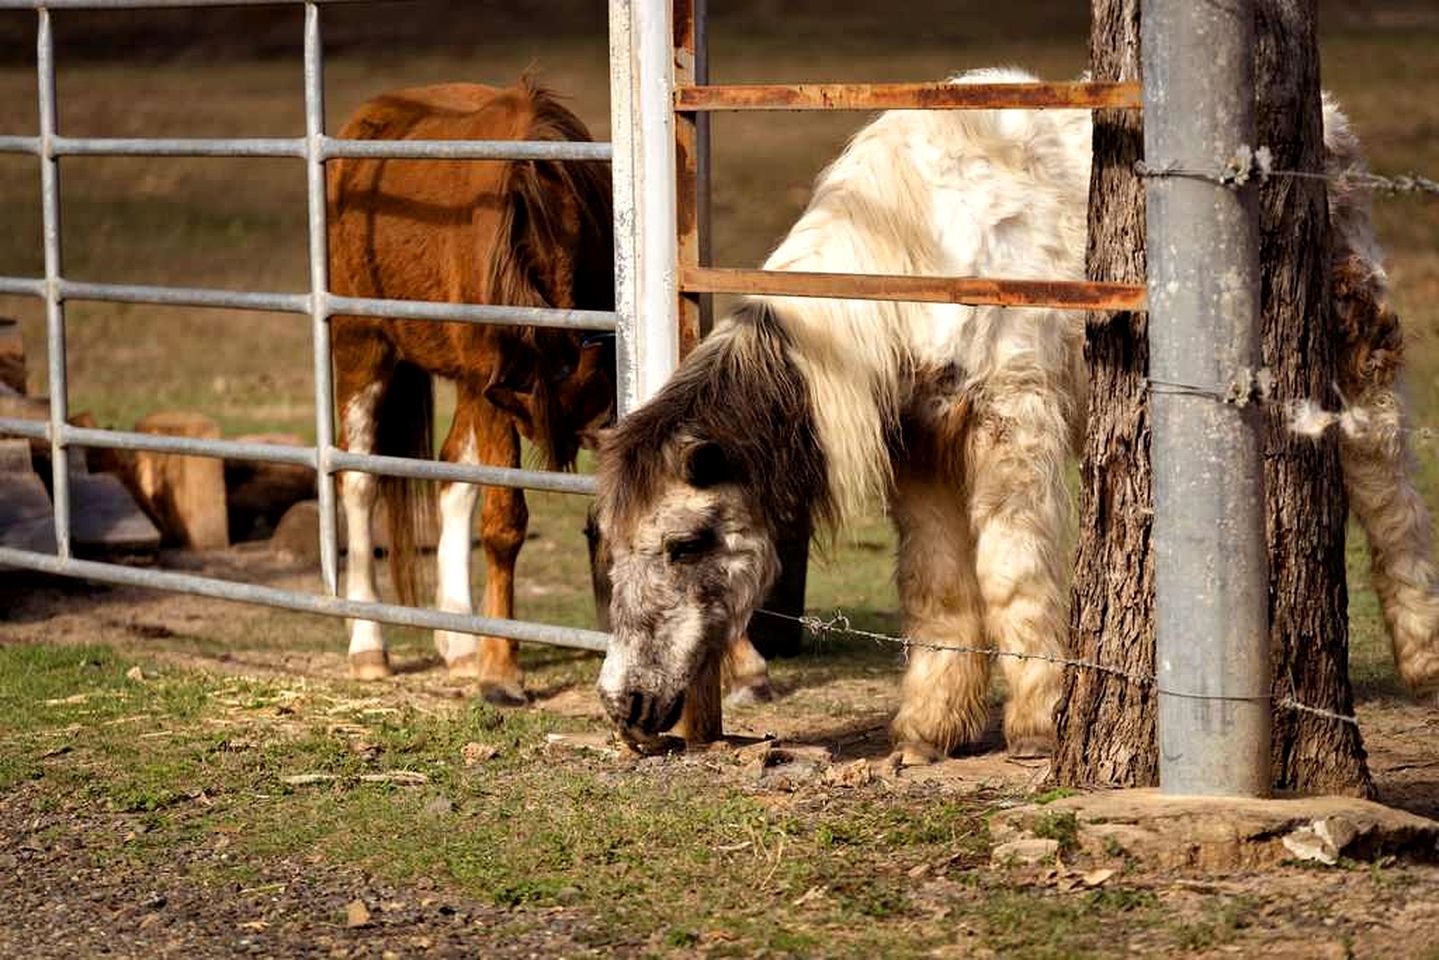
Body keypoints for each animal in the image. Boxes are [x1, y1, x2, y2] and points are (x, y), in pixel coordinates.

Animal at [592, 68, 1439, 760]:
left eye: (685, 544)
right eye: (609, 543)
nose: (623, 705)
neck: (912, 259)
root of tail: (1329, 121)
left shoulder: (1011, 422)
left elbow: (1011, 569)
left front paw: (1038, 723)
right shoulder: (921, 448)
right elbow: (937, 587)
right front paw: (928, 729)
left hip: (1357, 361)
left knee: (1386, 487)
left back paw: (1422, 656)